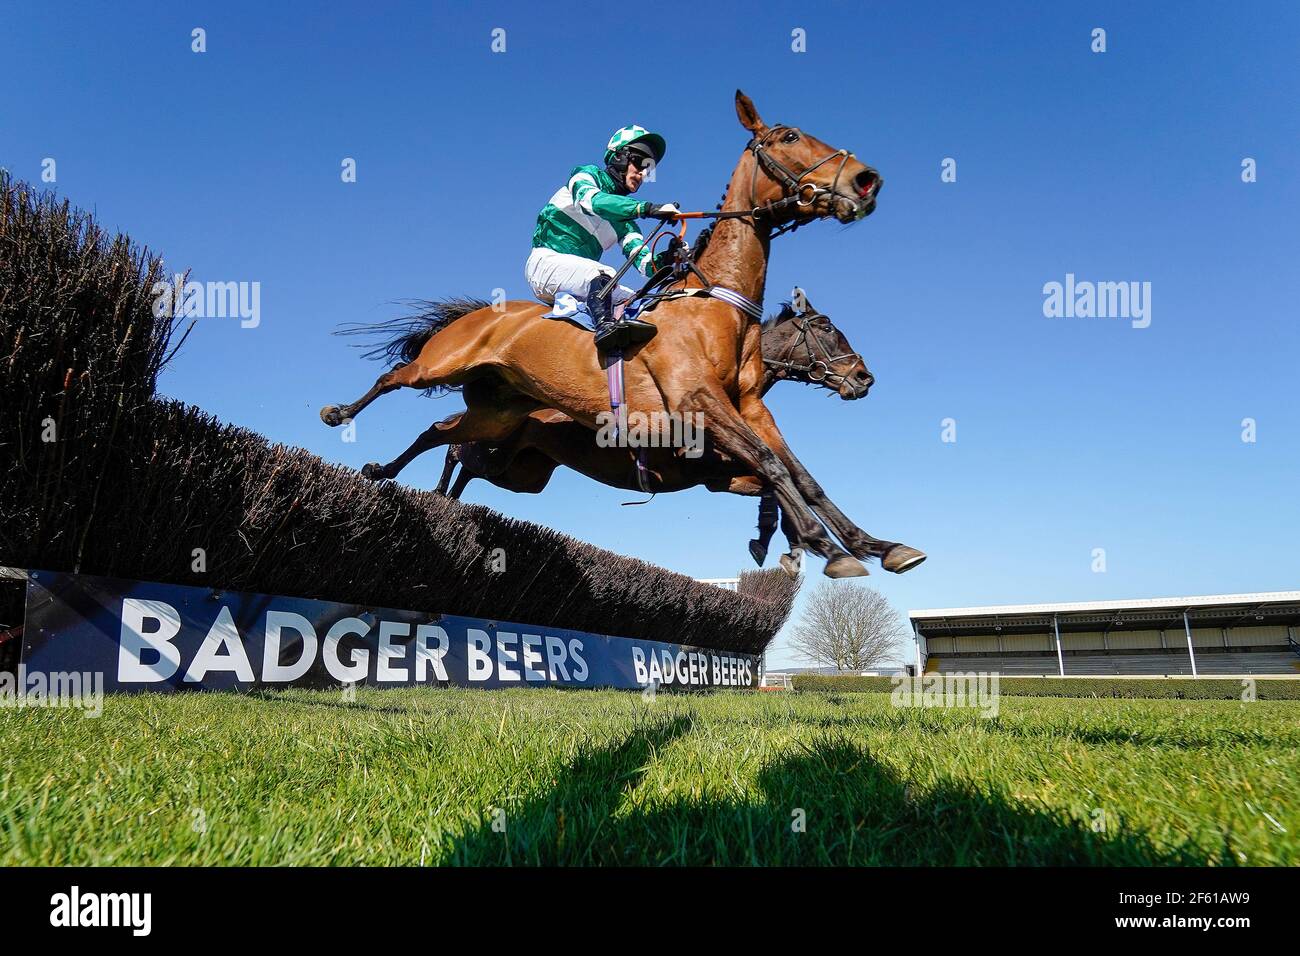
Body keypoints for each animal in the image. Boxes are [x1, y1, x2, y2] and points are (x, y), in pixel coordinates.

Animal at [318, 93, 920, 580]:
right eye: (789, 137)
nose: (866, 180)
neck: (718, 309)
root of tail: (483, 313)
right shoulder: (698, 405)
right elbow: (772, 468)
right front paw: (824, 546)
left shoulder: (748, 411)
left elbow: (800, 476)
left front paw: (874, 546)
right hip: (444, 367)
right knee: (396, 380)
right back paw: (341, 415)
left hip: (501, 421)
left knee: (442, 432)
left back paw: (392, 476)